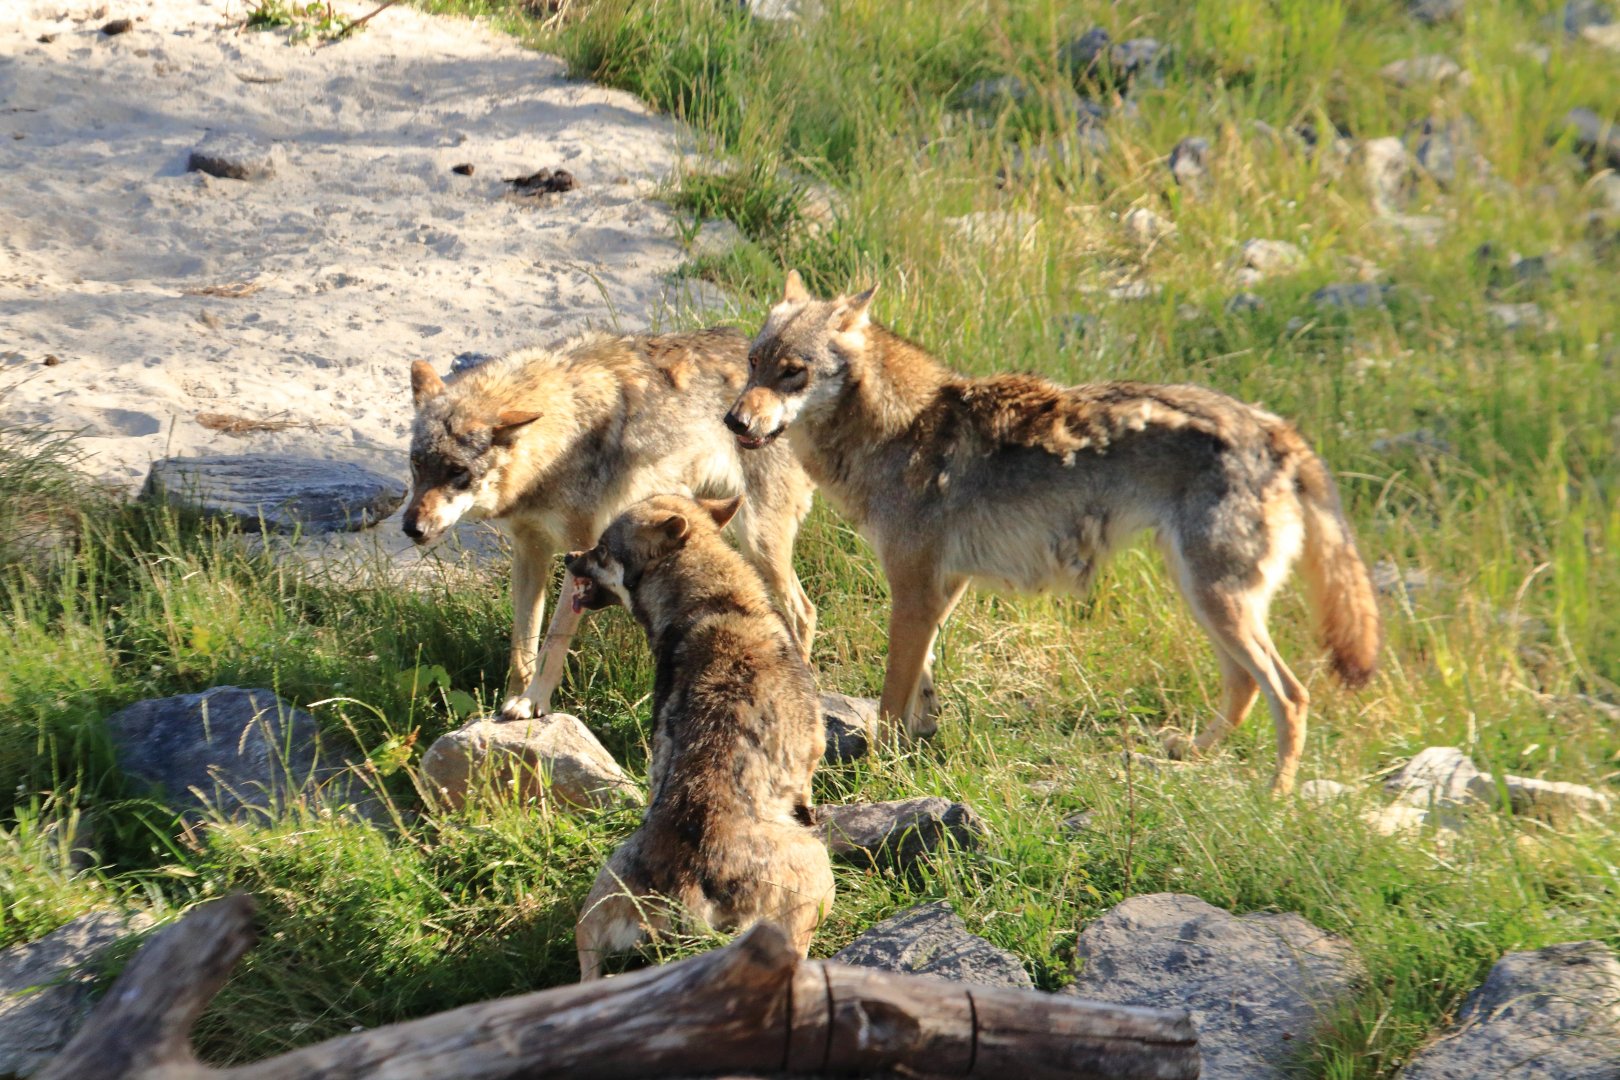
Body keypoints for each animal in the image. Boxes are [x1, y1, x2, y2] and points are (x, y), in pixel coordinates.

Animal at [402, 328, 817, 721]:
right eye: (417, 464)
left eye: (457, 472)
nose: (411, 528)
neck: (561, 433)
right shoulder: (529, 551)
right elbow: (521, 647)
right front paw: (510, 703)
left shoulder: (580, 552)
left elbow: (553, 643)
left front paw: (533, 702)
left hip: (760, 544)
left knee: (803, 612)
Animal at [566, 493, 834, 981]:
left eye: (601, 549)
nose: (567, 557)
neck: (719, 602)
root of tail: (690, 888)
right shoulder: (808, 765)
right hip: (818, 875)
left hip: (597, 901)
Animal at [723, 272, 1381, 795]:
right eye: (754, 363)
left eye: (793, 373)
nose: (733, 420)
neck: (898, 431)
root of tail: (1275, 427)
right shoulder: (937, 593)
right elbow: (923, 685)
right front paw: (921, 743)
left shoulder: (913, 592)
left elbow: (889, 701)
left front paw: (879, 771)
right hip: (1204, 596)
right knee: (1245, 686)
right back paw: (1189, 756)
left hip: (1216, 600)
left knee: (1290, 695)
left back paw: (1275, 797)